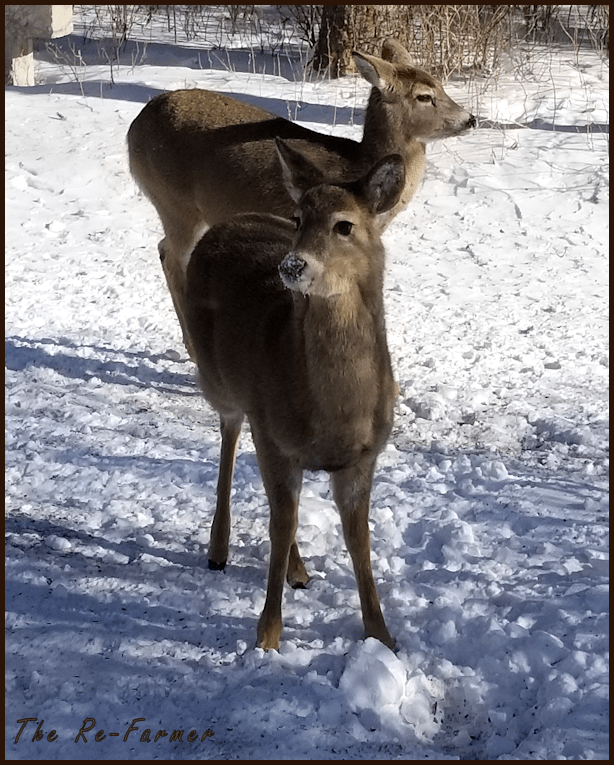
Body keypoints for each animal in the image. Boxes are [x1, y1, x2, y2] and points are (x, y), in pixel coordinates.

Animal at [128, 39, 476, 357]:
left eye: (440, 85)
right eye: (424, 96)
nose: (469, 119)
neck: (356, 166)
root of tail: (134, 128)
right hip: (175, 202)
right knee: (171, 255)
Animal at [183, 137, 406, 651]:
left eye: (345, 225)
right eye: (299, 218)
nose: (292, 265)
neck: (335, 413)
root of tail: (223, 224)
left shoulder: (362, 457)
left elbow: (359, 539)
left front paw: (383, 637)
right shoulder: (275, 435)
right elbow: (280, 522)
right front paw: (267, 635)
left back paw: (298, 572)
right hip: (221, 383)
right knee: (229, 440)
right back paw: (218, 550)